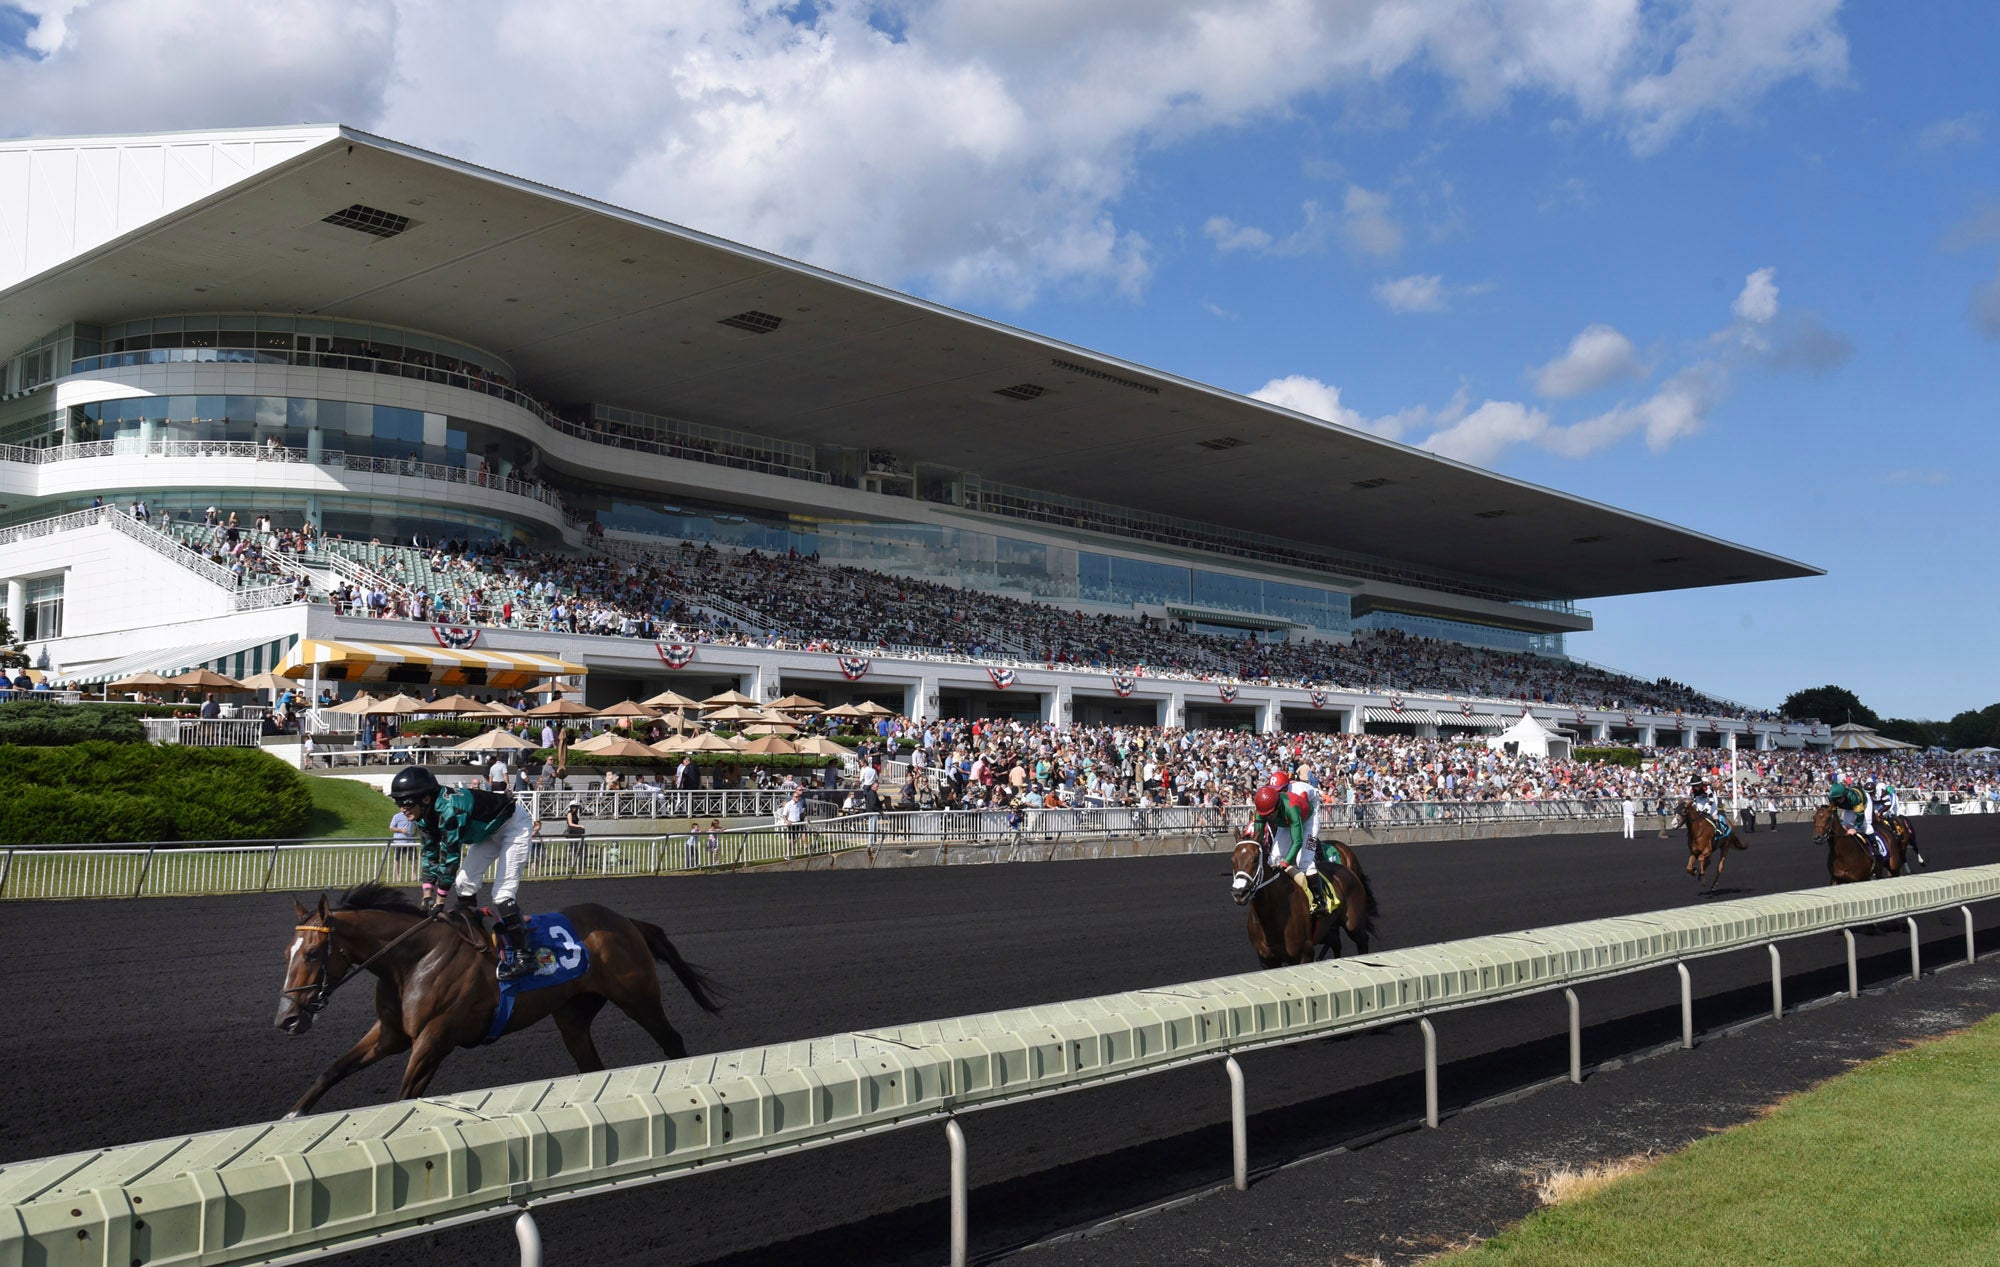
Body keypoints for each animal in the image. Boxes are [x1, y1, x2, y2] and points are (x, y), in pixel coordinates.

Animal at [276, 883, 720, 1111]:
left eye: (313, 954)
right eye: (286, 953)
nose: (286, 1019)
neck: (414, 960)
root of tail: (625, 920)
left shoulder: (434, 1040)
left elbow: (405, 1096)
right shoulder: (391, 1033)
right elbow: (330, 1072)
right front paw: (292, 1116)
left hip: (638, 998)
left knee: (672, 1041)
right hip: (572, 1015)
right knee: (590, 1064)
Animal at [1224, 827, 1384, 967]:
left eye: (1255, 858)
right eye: (1233, 859)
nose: (1239, 892)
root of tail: (1348, 870)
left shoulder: (1304, 954)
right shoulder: (1266, 960)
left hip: (1354, 925)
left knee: (1362, 942)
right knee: (1336, 943)